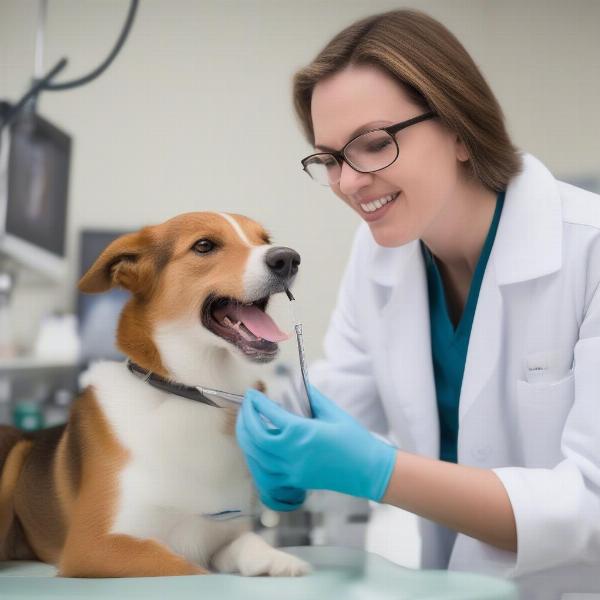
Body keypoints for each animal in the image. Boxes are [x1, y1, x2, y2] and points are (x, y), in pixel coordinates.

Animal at [0, 213, 312, 580]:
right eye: (204, 245)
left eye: (264, 240)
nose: (288, 258)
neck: (189, 394)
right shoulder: (95, 545)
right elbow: (190, 569)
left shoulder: (221, 533)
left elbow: (247, 542)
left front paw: (278, 560)